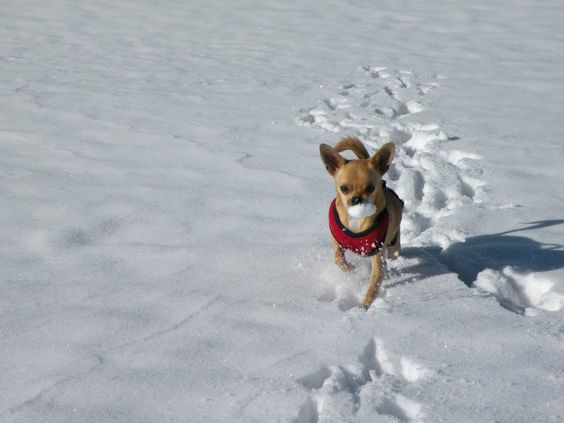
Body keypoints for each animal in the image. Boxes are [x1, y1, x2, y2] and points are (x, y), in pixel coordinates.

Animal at [320, 137, 404, 310]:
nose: (356, 199)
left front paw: (366, 305)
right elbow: (339, 260)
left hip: (394, 245)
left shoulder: (378, 256)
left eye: (371, 188)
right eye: (344, 188)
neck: (356, 219)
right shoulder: (337, 243)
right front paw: (351, 269)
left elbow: (374, 282)